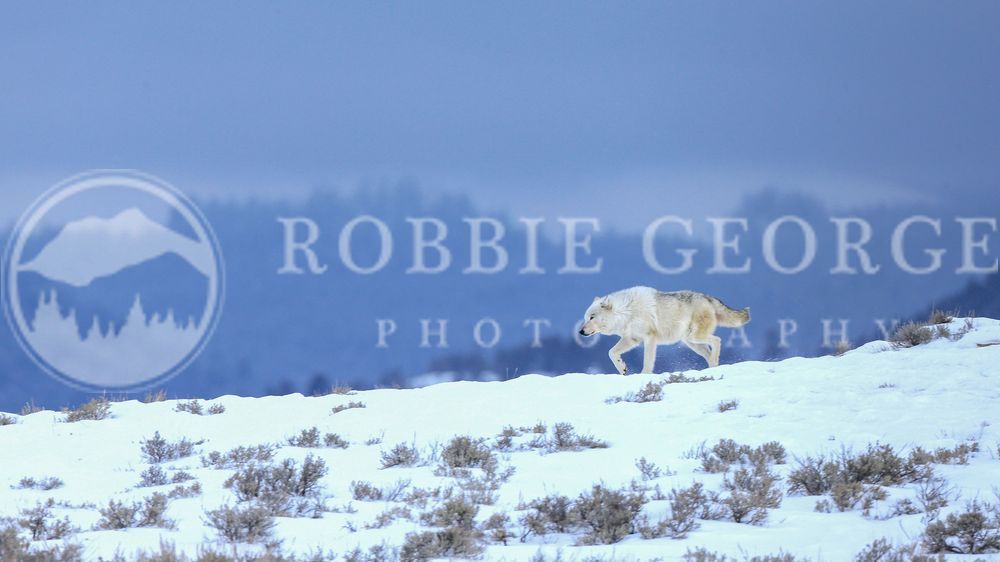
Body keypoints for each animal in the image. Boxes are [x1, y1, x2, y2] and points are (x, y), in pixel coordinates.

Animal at [578, 286, 750, 374]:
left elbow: (648, 361)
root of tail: (708, 297)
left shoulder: (649, 338)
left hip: (695, 337)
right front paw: (622, 368)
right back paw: (712, 369)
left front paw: (644, 375)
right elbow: (611, 353)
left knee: (717, 341)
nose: (581, 332)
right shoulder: (632, 339)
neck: (626, 311)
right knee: (710, 352)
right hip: (692, 342)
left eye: (592, 317)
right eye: (586, 318)